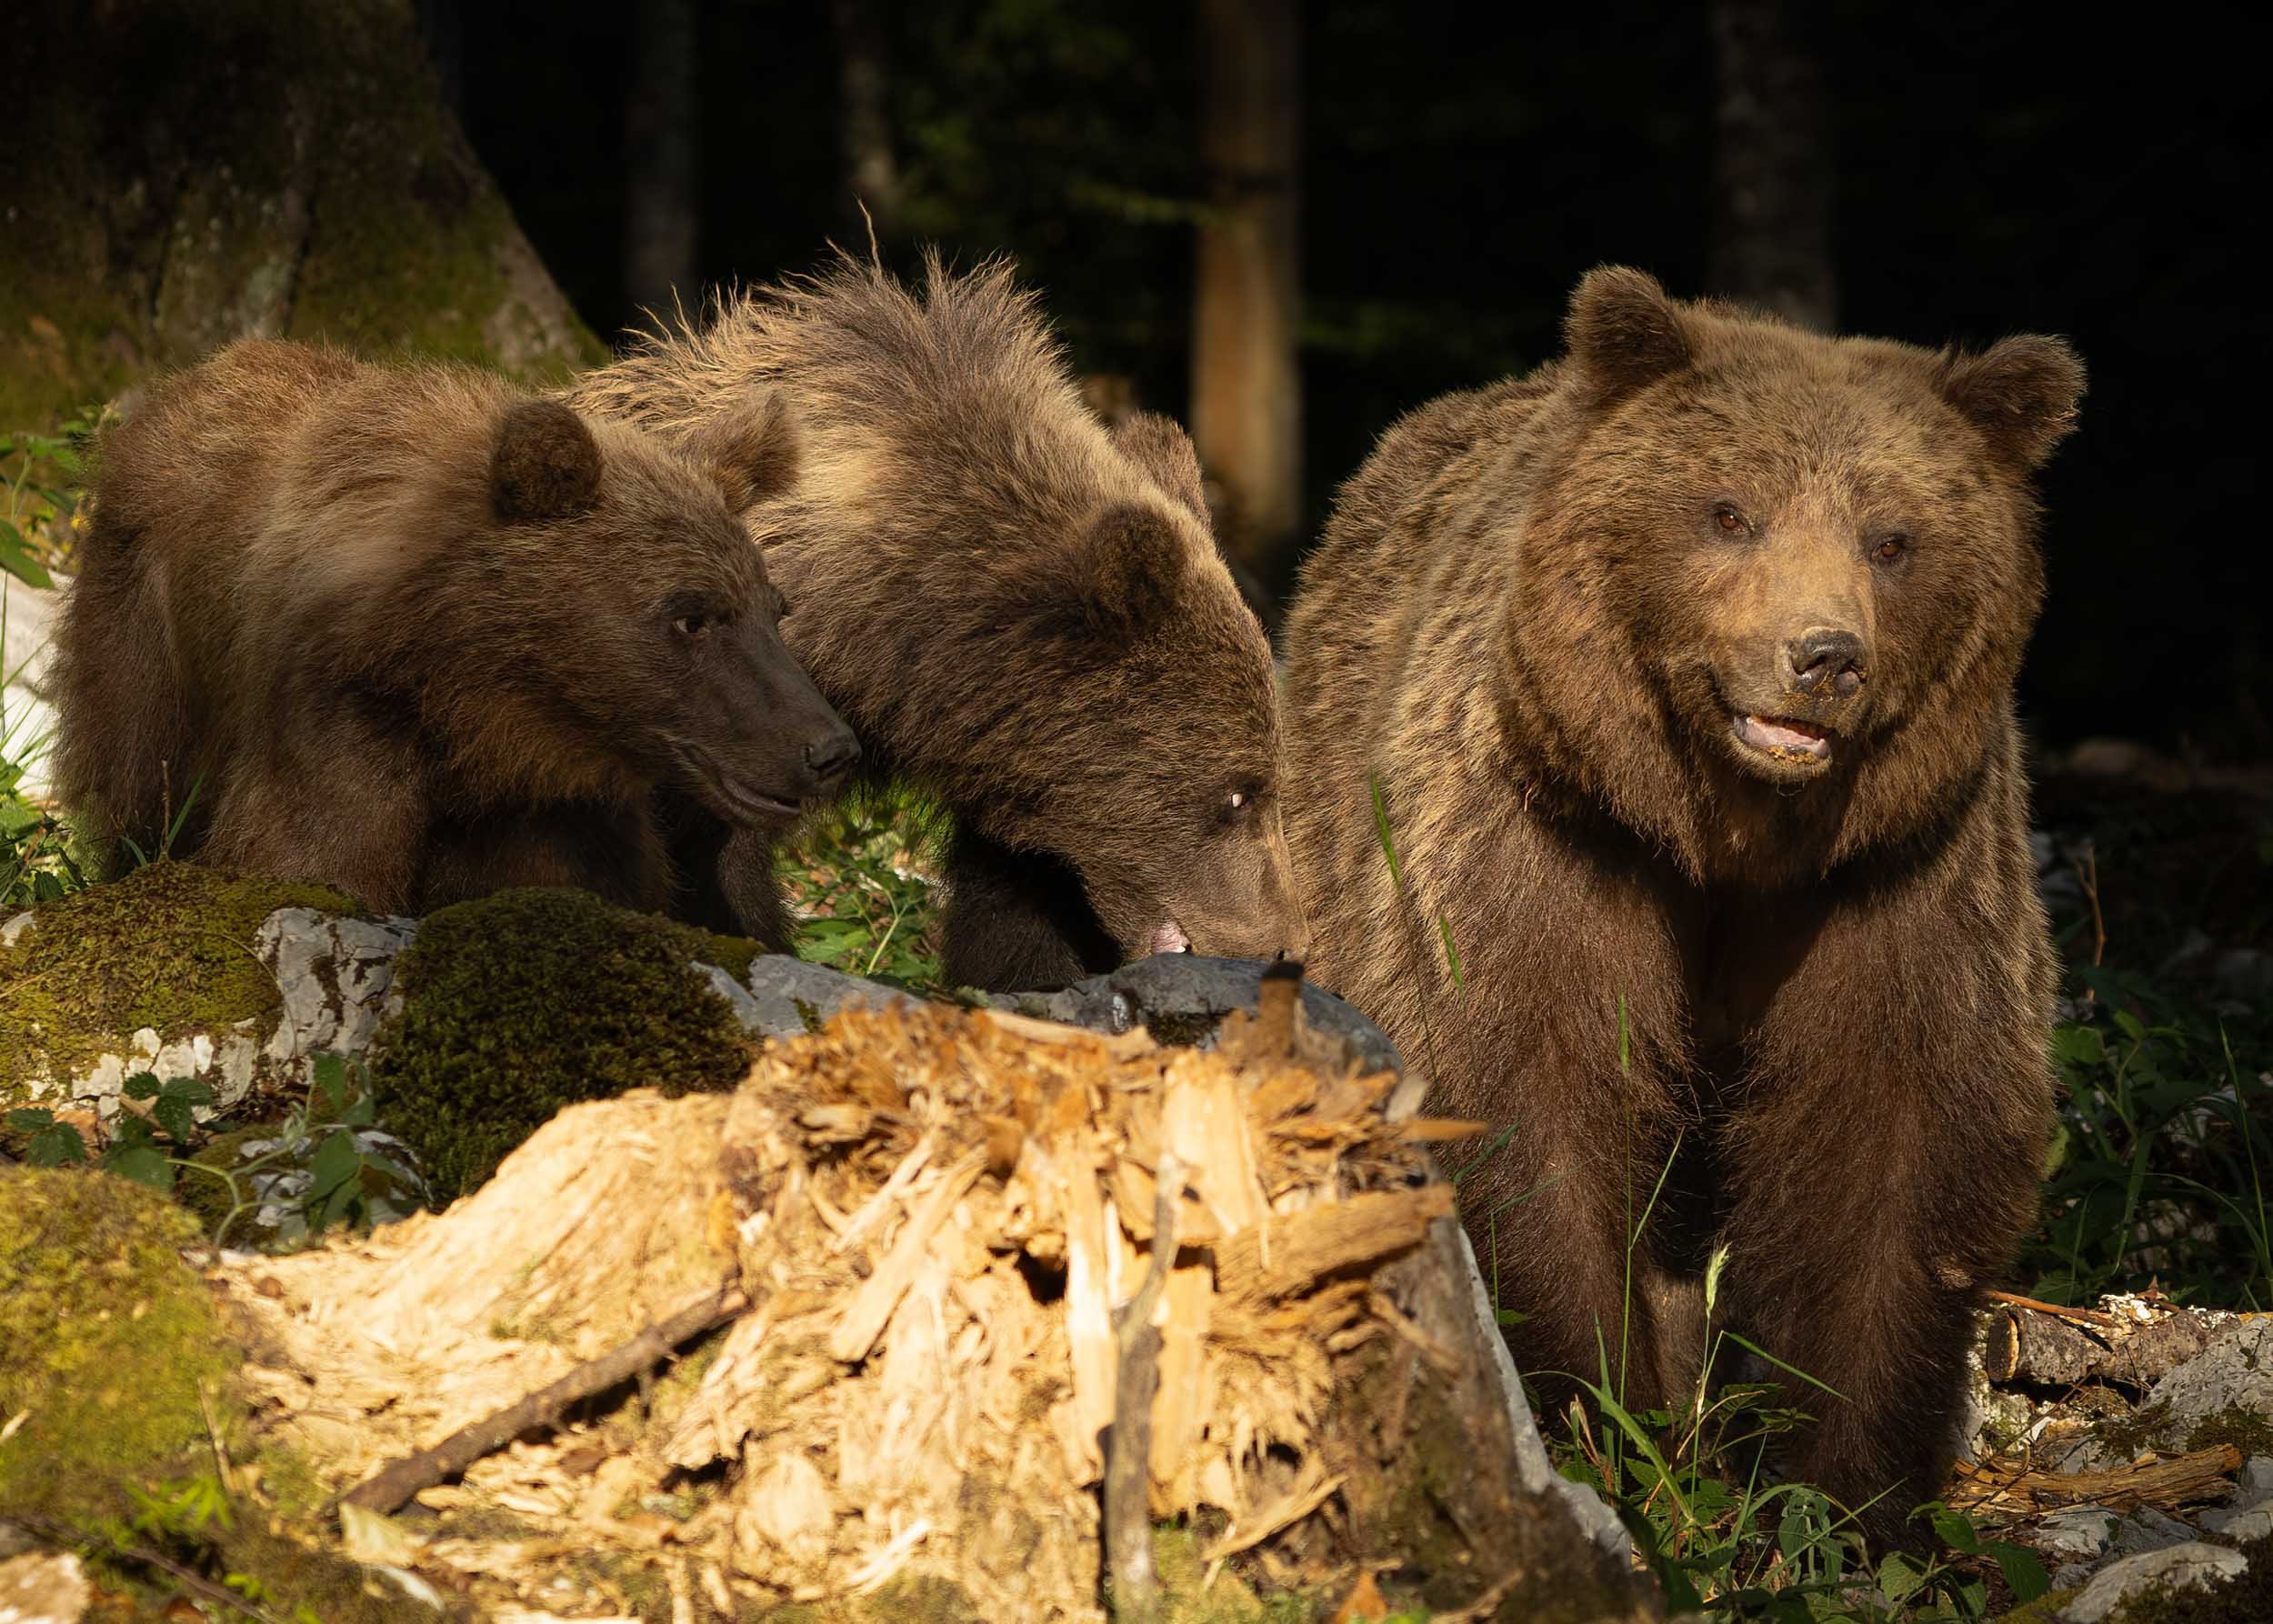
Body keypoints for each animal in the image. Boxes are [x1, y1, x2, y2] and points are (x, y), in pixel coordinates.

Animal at [52, 338, 859, 924]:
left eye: (775, 607)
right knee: (139, 778)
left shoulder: (551, 811)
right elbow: (312, 858)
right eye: (692, 615)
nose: (828, 748)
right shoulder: (334, 720)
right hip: (148, 642)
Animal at [1279, 267, 2083, 1548]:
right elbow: (1524, 1088)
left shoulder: (1898, 879)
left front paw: (1836, 1490)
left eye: (1893, 538)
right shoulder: (1549, 845)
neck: (1729, 843)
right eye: (1727, 511)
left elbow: (1891, 1137)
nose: (1822, 656)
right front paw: (1598, 1413)